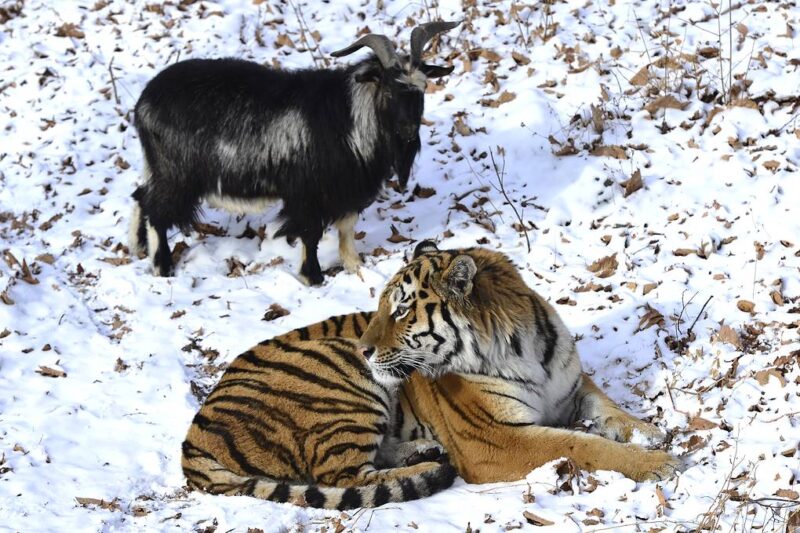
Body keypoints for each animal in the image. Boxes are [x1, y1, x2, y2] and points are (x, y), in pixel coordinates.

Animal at [287, 240, 680, 484]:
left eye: (400, 310)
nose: (363, 350)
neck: (524, 349)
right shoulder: (496, 437)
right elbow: (582, 445)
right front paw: (657, 463)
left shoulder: (571, 387)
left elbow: (609, 407)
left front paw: (648, 432)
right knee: (343, 477)